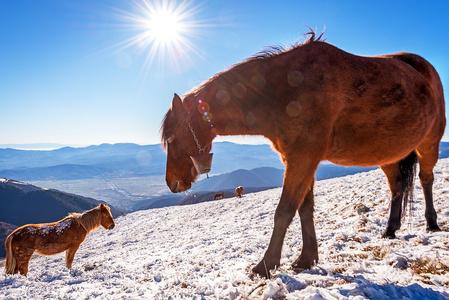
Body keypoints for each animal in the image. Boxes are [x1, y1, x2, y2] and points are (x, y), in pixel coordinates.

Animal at [161, 31, 444, 278]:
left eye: (172, 138)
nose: (172, 183)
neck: (284, 91)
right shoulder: (298, 160)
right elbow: (304, 209)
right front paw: (307, 259)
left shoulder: (303, 158)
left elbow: (284, 211)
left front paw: (266, 265)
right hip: (387, 157)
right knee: (397, 187)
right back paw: (390, 230)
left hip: (429, 143)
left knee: (426, 179)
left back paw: (432, 224)